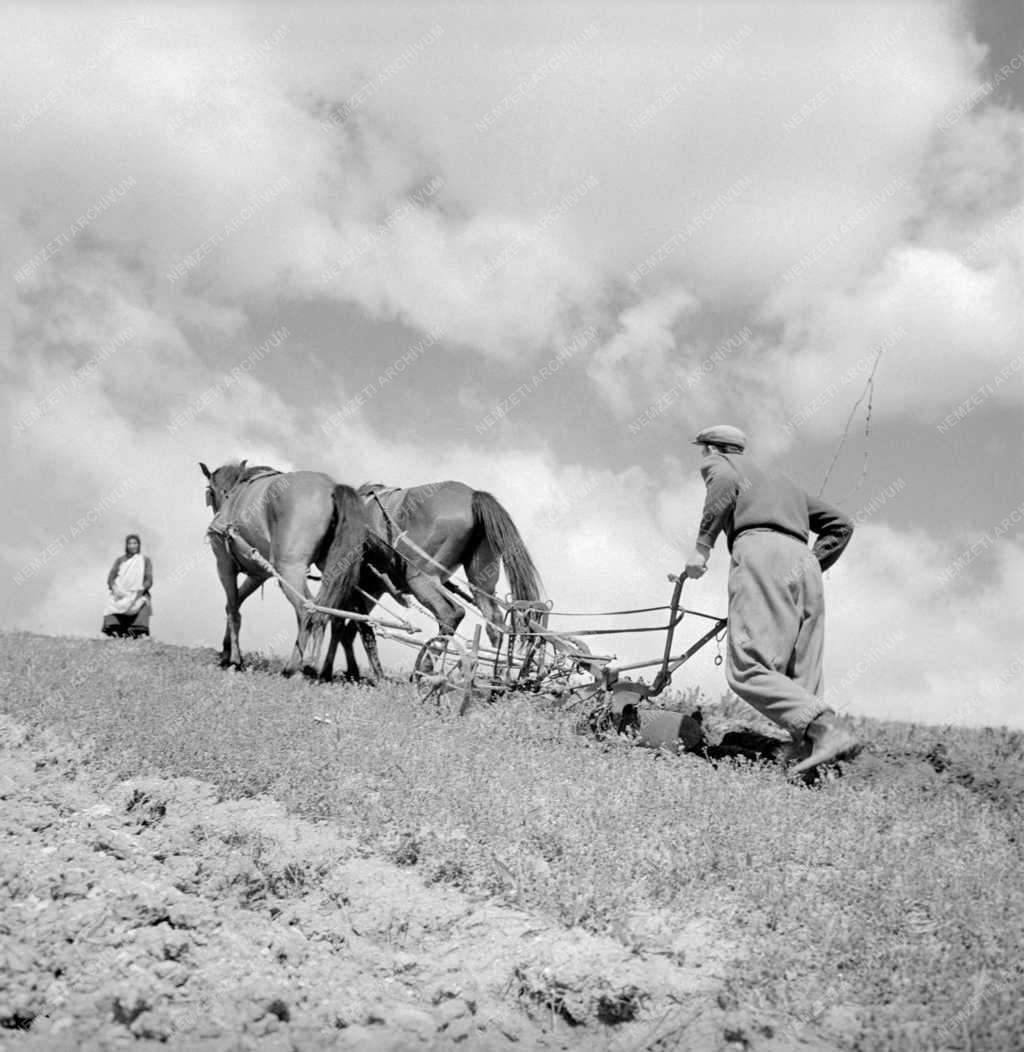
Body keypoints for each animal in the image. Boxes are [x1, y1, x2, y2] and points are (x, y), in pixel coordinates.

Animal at [197, 460, 366, 673]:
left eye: (210, 491)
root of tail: (330, 488)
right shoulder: (257, 574)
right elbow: (235, 603)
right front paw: (227, 649)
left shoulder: (224, 565)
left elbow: (233, 608)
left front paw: (234, 659)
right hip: (334, 569)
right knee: (330, 615)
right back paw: (316, 667)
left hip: (289, 569)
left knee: (306, 610)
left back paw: (293, 667)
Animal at [319, 479, 543, 681]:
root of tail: (472, 495)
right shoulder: (372, 588)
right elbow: (350, 628)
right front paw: (353, 673)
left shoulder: (356, 586)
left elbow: (348, 625)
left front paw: (334, 672)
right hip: (481, 582)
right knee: (494, 622)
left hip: (420, 579)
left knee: (451, 614)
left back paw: (425, 669)